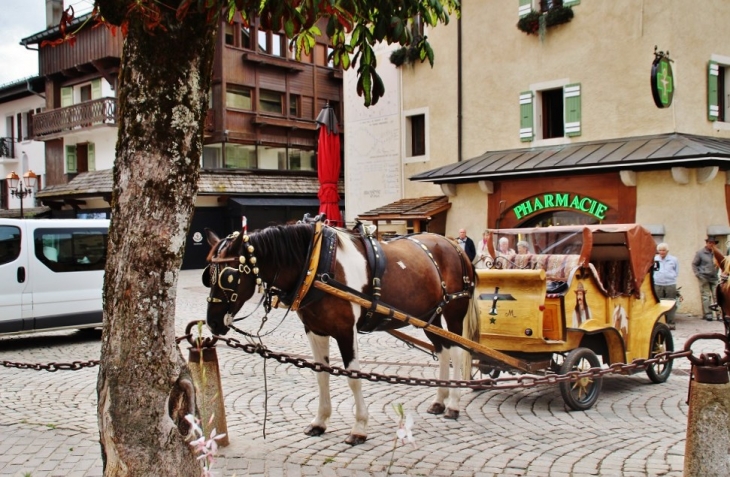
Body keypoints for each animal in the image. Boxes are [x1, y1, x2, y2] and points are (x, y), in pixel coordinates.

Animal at [202, 221, 480, 444]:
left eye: (229, 276)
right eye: (208, 276)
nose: (212, 322)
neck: (316, 265)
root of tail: (452, 244)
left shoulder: (346, 331)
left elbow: (353, 377)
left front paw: (359, 428)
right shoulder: (315, 331)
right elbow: (321, 375)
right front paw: (320, 421)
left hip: (454, 313)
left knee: (457, 352)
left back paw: (454, 403)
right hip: (427, 317)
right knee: (443, 350)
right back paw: (440, 400)